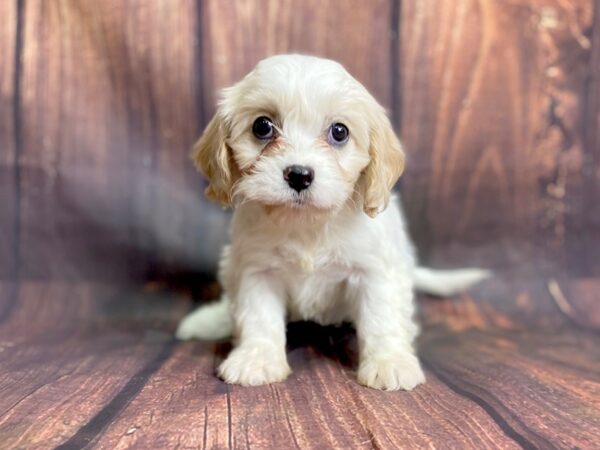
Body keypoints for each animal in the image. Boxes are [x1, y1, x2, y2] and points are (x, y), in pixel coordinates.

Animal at [175, 54, 488, 388]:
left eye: (339, 132)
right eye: (262, 126)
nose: (299, 174)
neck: (307, 222)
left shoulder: (375, 270)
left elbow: (381, 317)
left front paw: (389, 361)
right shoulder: (256, 270)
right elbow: (258, 316)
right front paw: (256, 359)